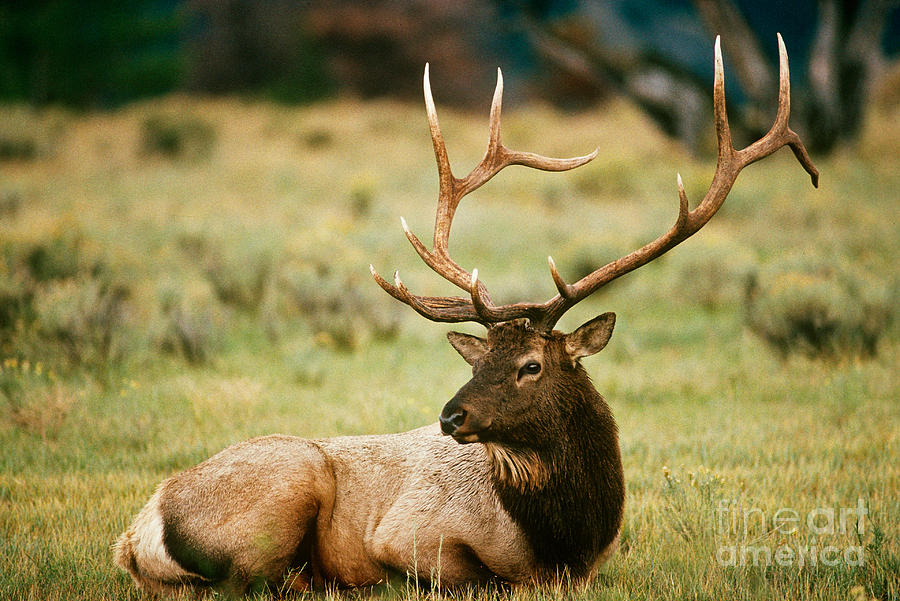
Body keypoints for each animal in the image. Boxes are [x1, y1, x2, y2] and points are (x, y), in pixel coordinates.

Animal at [112, 36, 816, 596]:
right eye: (483, 360)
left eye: (531, 365)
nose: (451, 416)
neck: (567, 537)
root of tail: (138, 533)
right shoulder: (407, 534)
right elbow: (479, 577)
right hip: (290, 483)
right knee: (250, 579)